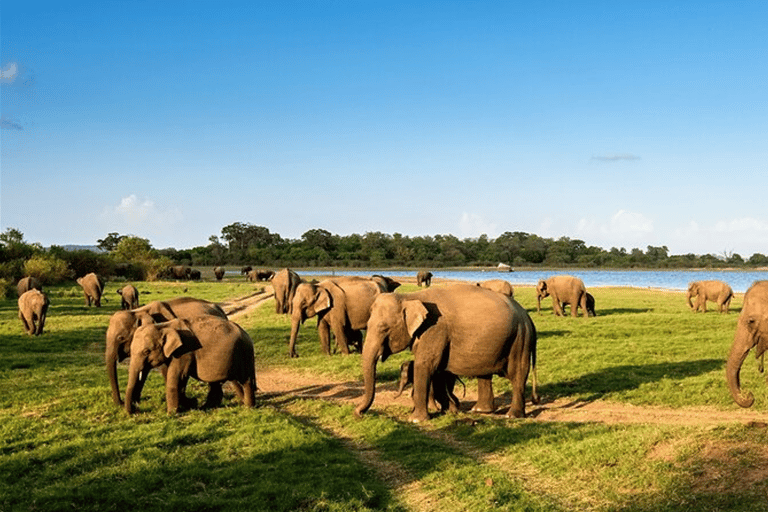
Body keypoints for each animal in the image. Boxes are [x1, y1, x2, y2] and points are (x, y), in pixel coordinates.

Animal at [125, 316, 258, 416]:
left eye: (146, 352)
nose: (136, 411)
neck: (164, 326)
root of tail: (246, 334)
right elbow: (177, 379)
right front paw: (190, 404)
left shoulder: (185, 352)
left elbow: (177, 377)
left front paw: (171, 414)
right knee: (219, 382)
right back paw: (206, 408)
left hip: (245, 354)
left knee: (246, 380)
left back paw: (248, 408)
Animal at [356, 282, 540, 422]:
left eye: (384, 328)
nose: (358, 413)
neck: (409, 296)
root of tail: (528, 318)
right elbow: (438, 370)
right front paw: (450, 410)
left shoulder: (436, 329)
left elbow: (425, 365)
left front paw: (416, 420)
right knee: (484, 373)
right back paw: (480, 411)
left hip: (520, 338)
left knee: (517, 373)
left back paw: (512, 416)